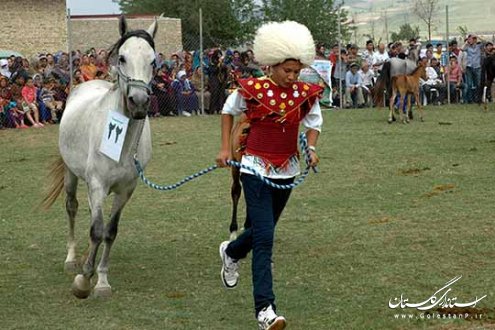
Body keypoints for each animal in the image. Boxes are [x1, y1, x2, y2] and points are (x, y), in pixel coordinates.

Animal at [44, 16, 158, 300]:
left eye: (153, 61)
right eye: (123, 58)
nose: (139, 101)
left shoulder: (126, 190)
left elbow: (110, 231)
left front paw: (102, 280)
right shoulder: (97, 184)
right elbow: (96, 230)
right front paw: (84, 279)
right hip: (72, 174)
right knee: (72, 208)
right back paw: (72, 258)